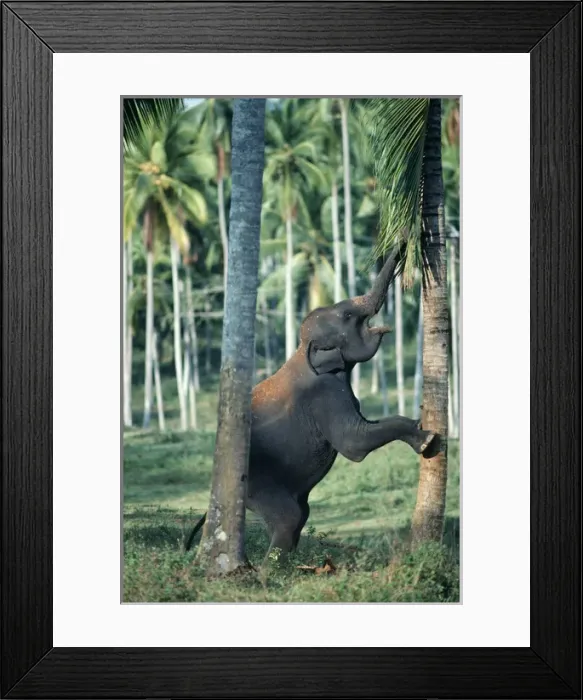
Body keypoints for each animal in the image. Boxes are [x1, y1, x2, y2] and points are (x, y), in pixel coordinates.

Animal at [185, 244, 436, 563]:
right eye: (347, 314)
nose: (402, 243)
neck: (301, 349)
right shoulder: (323, 393)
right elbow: (354, 442)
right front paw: (427, 439)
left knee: (300, 515)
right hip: (256, 481)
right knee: (290, 517)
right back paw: (272, 569)